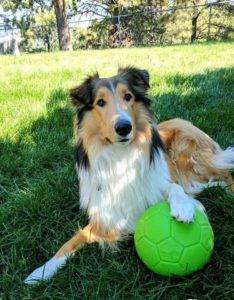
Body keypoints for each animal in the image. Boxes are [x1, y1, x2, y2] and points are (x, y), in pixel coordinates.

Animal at [24, 66, 234, 284]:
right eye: (100, 102)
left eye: (128, 97)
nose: (124, 127)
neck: (120, 156)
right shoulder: (106, 216)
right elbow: (72, 240)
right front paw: (41, 272)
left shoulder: (157, 184)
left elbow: (174, 188)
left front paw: (183, 207)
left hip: (187, 155)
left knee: (224, 173)